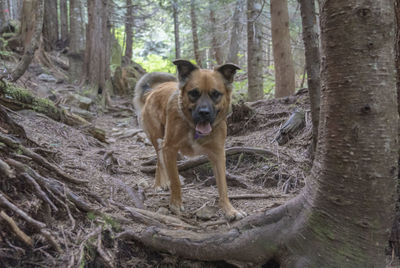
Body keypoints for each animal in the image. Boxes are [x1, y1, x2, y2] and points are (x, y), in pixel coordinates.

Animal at [135, 59, 244, 221]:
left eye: (216, 94)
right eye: (193, 93)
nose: (204, 113)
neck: (193, 127)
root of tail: (151, 92)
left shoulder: (218, 155)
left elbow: (223, 187)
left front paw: (229, 210)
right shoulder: (170, 148)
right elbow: (176, 181)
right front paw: (175, 203)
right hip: (158, 139)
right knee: (159, 161)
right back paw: (160, 183)